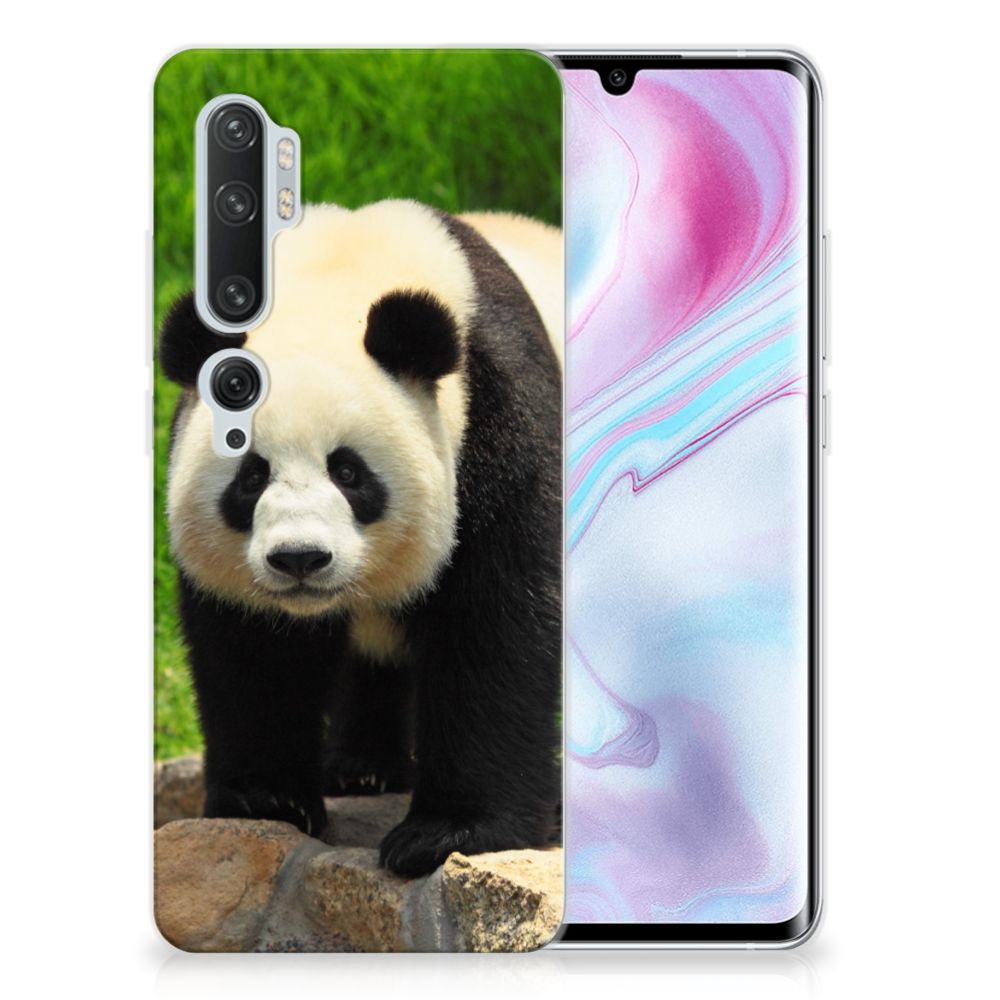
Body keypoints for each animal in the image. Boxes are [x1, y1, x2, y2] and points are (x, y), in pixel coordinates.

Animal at [159, 200, 562, 877]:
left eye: (348, 472)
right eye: (251, 475)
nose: (300, 558)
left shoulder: (500, 420)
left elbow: (497, 622)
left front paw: (447, 832)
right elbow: (253, 650)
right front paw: (267, 799)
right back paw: (362, 769)